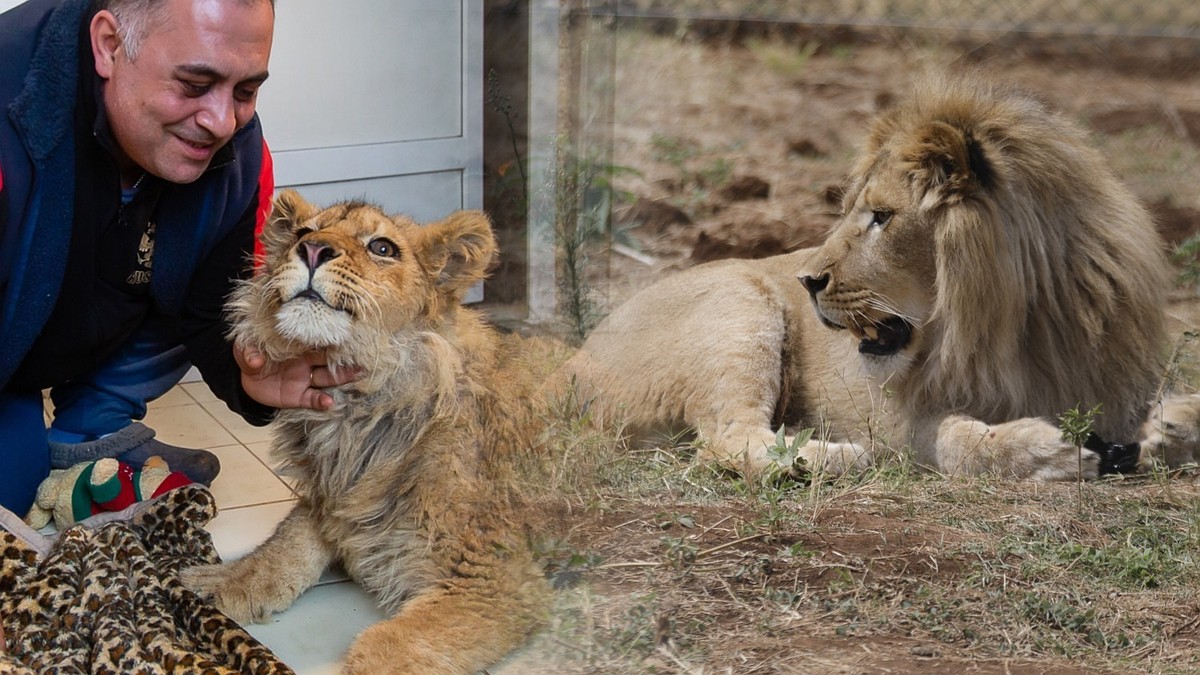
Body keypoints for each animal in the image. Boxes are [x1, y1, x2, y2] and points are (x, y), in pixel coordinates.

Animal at [181, 190, 549, 672]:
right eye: (303, 233)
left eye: (382, 248)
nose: (312, 250)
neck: (354, 412)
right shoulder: (329, 499)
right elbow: (284, 545)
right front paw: (219, 579)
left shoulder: (494, 578)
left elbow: (387, 646)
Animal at [564, 74, 1171, 478]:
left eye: (881, 216)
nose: (806, 281)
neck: (1020, 329)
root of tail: (569, 364)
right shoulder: (896, 414)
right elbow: (950, 436)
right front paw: (1048, 450)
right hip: (739, 304)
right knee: (726, 439)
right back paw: (830, 456)